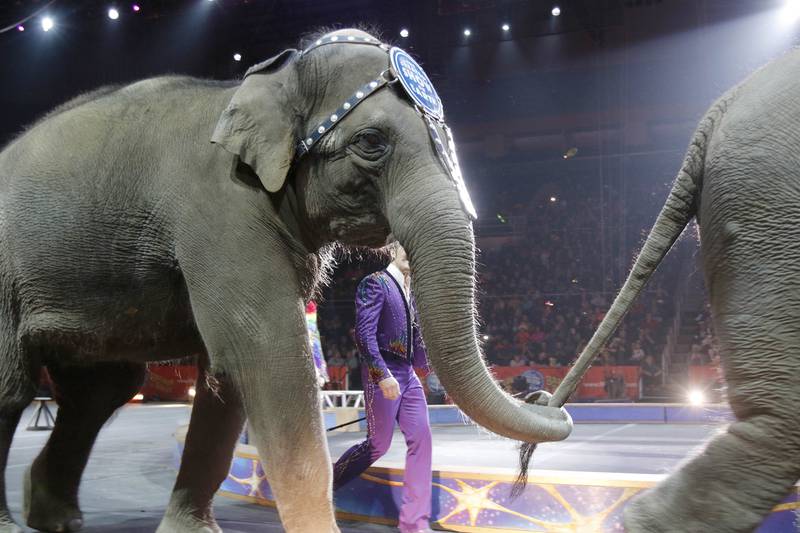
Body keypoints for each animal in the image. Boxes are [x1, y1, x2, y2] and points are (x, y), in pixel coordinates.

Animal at [0, 28, 576, 532]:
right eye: (371, 141)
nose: (543, 394)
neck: (273, 77)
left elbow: (228, 377)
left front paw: (191, 528)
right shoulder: (223, 208)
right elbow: (267, 356)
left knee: (101, 391)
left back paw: (55, 516)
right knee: (17, 389)